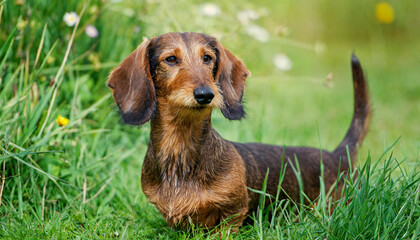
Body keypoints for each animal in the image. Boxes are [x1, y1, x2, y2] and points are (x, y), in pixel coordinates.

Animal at [106, 31, 370, 229]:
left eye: (208, 58)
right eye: (170, 59)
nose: (206, 94)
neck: (180, 152)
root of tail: (338, 155)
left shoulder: (234, 211)